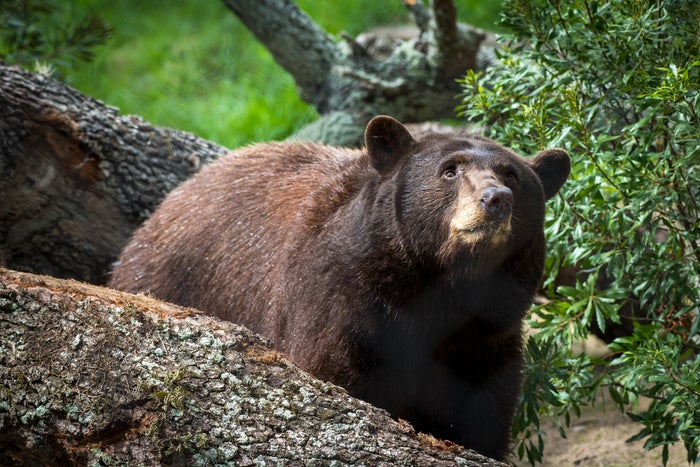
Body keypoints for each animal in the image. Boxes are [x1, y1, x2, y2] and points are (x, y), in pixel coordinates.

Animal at [108, 115, 570, 460]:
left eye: (513, 175)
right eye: (450, 170)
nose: (496, 199)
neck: (435, 294)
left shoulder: (486, 339)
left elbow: (481, 415)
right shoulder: (340, 305)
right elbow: (336, 377)